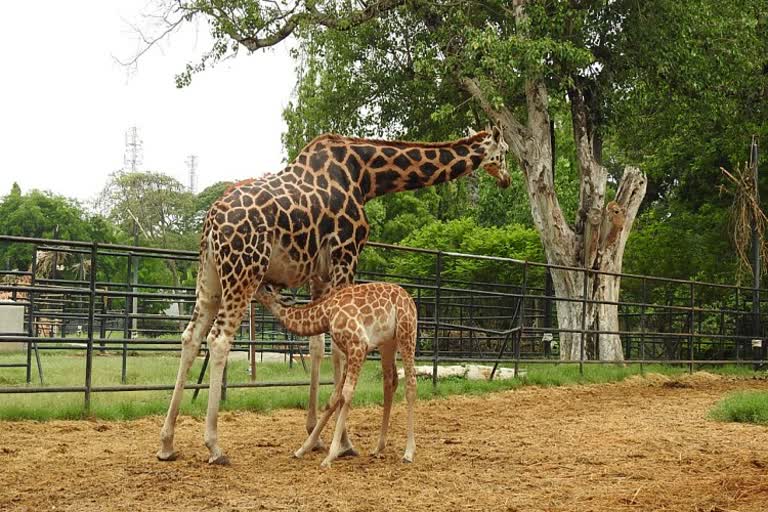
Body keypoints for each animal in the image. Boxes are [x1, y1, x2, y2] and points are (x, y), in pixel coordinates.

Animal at [255, 282, 416, 466]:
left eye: (268, 288)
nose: (256, 288)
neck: (326, 314)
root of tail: (409, 299)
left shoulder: (358, 345)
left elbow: (346, 394)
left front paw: (330, 455)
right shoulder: (352, 351)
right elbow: (334, 397)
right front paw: (302, 449)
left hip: (407, 333)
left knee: (411, 384)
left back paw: (408, 453)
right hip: (388, 343)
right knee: (390, 382)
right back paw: (378, 448)